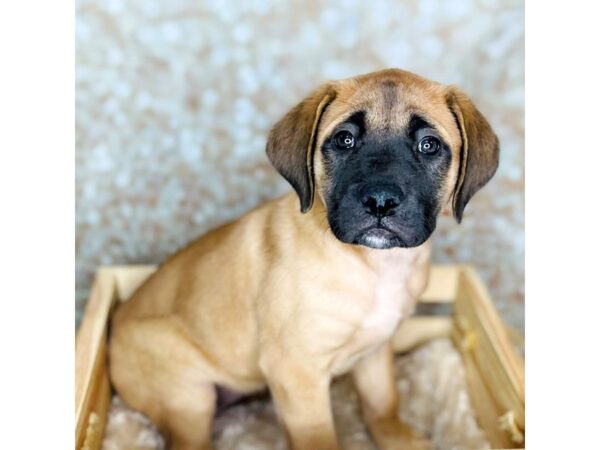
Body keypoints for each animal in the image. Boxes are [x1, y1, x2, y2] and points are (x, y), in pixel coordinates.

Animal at [110, 67, 500, 450]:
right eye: (344, 140)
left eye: (429, 145)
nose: (380, 201)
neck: (373, 265)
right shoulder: (298, 373)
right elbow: (319, 435)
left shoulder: (376, 348)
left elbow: (382, 402)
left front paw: (399, 439)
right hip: (188, 396)